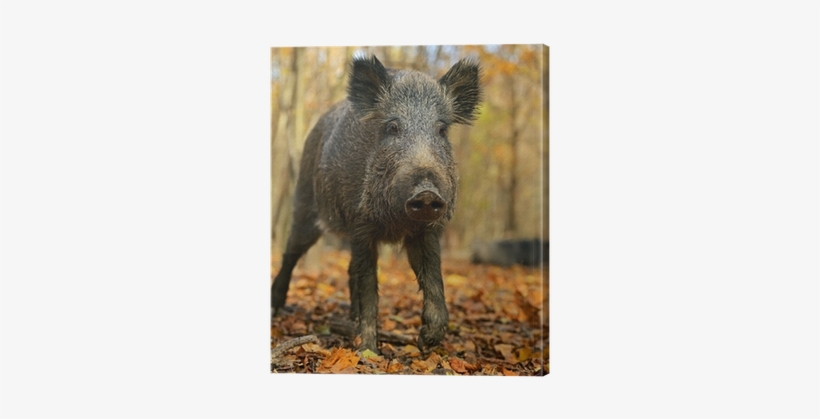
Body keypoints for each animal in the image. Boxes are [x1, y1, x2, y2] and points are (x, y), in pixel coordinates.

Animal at [271, 55, 481, 354]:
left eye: (442, 129)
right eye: (392, 127)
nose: (426, 193)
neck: (395, 223)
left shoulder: (425, 232)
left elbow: (433, 279)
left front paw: (426, 342)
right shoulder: (361, 225)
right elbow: (370, 288)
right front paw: (368, 352)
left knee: (349, 269)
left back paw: (351, 318)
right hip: (305, 208)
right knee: (291, 255)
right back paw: (275, 309)